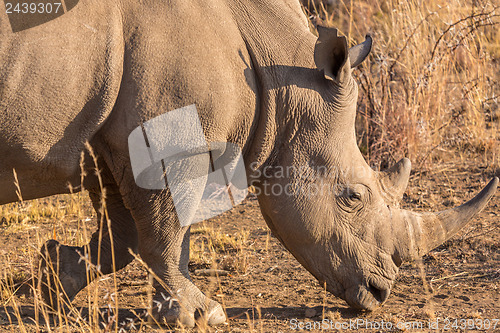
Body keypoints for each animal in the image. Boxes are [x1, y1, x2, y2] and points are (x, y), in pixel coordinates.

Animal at [0, 0, 498, 324]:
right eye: (353, 197)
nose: (381, 292)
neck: (283, 77)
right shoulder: (168, 142)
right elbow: (163, 233)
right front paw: (204, 315)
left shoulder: (113, 143)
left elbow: (122, 238)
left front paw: (52, 281)